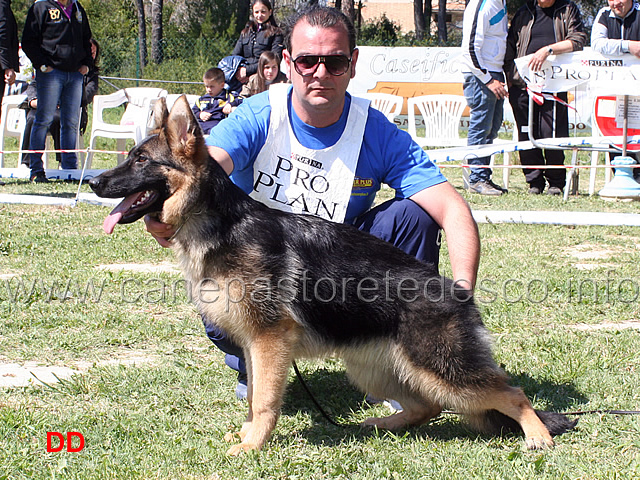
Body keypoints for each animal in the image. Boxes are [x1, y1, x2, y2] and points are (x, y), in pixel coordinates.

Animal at [90, 95, 576, 456]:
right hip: (377, 368)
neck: (220, 223)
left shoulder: (269, 341)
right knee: (427, 407)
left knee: (513, 393)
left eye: (140, 160)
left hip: (443, 369)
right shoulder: (253, 346)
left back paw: (537, 437)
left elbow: (264, 401)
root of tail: (457, 293)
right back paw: (383, 423)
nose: (93, 183)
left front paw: (252, 446)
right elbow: (254, 394)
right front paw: (247, 434)